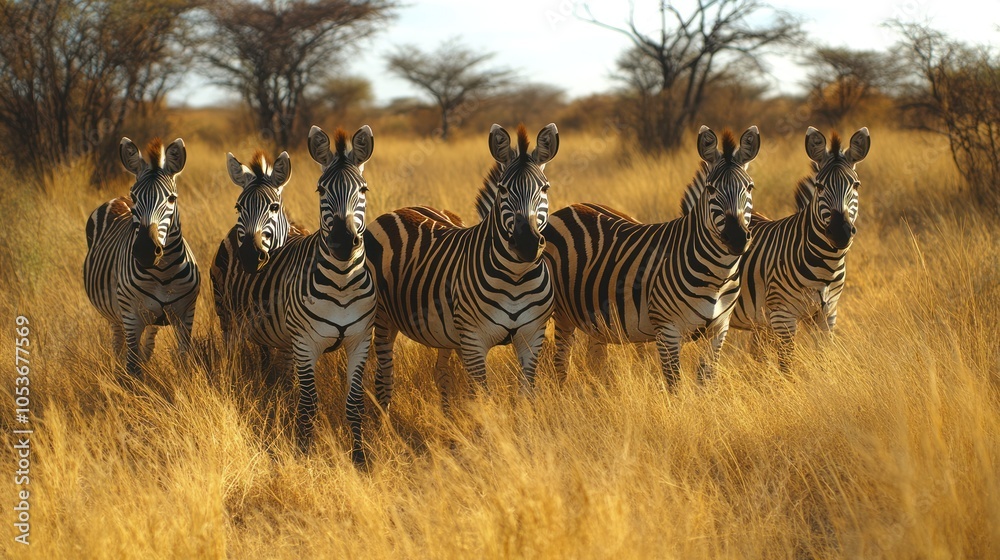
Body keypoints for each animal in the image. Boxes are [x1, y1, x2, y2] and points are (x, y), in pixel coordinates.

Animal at [84, 137, 201, 379]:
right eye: (135, 197)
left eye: (172, 198)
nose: (145, 251)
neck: (163, 272)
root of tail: (118, 198)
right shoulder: (131, 316)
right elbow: (132, 367)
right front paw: (132, 386)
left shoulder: (186, 315)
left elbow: (184, 362)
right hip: (115, 314)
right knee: (119, 343)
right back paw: (118, 366)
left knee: (149, 339)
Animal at [222, 125, 377, 465]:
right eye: (321, 191)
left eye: (363, 190)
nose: (342, 241)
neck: (343, 280)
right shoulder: (306, 344)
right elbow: (307, 405)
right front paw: (304, 454)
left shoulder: (359, 341)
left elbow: (355, 403)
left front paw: (359, 458)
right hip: (230, 323)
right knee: (233, 365)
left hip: (278, 337)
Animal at [365, 123, 559, 409]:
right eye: (503, 189)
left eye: (544, 189)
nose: (527, 244)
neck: (516, 277)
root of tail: (400, 209)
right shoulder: (474, 340)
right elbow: (484, 397)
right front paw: (487, 422)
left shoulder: (532, 335)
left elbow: (525, 393)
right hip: (383, 318)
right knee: (384, 377)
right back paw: (382, 419)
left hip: (445, 333)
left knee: (441, 373)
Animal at [543, 125, 759, 386]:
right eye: (710, 189)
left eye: (749, 187)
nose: (737, 238)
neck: (716, 276)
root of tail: (569, 207)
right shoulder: (667, 330)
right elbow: (675, 383)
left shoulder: (719, 330)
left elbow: (706, 379)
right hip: (561, 313)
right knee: (560, 361)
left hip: (596, 317)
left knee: (594, 362)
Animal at [713, 127, 870, 371]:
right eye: (820, 186)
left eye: (856, 185)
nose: (840, 232)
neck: (826, 265)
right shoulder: (782, 315)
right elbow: (786, 365)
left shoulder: (827, 314)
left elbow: (824, 359)